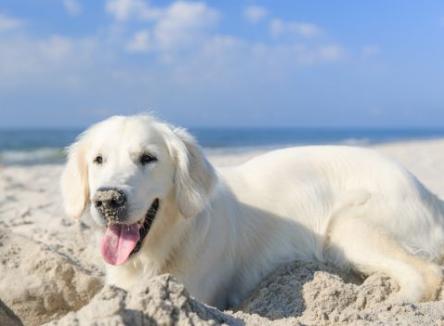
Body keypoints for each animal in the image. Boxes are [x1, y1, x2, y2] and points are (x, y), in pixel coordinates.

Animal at [61, 114, 444, 308]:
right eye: (98, 159)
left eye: (148, 158)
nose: (108, 200)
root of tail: (428, 193)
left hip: (349, 227)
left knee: (426, 275)